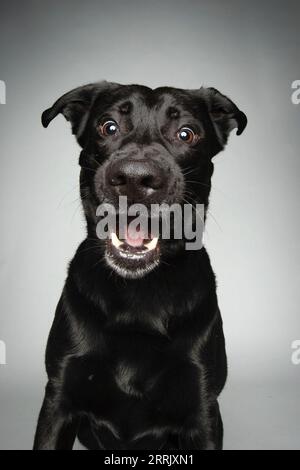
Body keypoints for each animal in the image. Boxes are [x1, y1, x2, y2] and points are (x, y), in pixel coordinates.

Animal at [34, 81, 247, 452]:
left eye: (186, 133)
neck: (140, 293)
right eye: (109, 127)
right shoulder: (58, 398)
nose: (134, 178)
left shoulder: (203, 410)